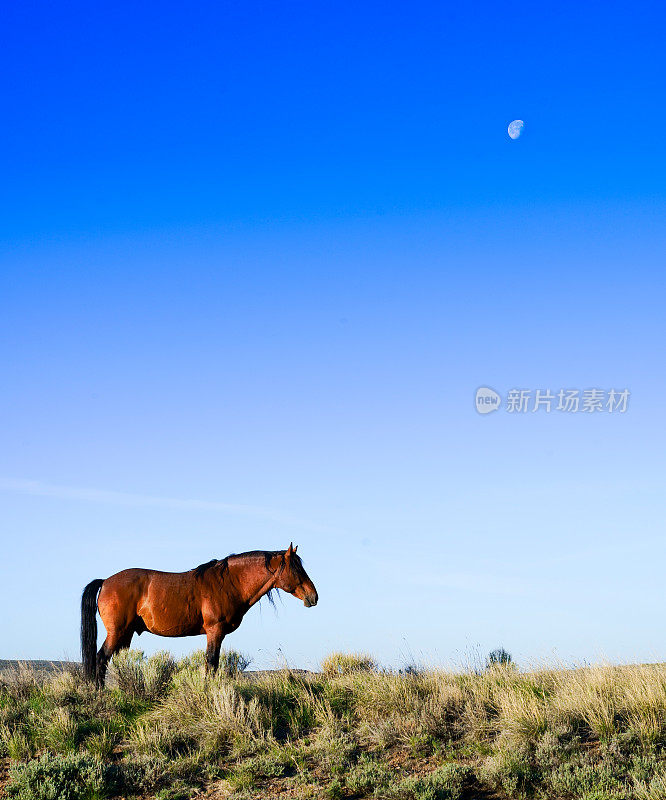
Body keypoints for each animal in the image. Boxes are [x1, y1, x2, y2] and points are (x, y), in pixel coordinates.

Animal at [79, 544, 318, 688]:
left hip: (125, 635)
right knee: (101, 658)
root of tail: (105, 582)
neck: (228, 583)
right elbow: (211, 663)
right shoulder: (214, 631)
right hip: (116, 632)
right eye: (296, 569)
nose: (313, 596)